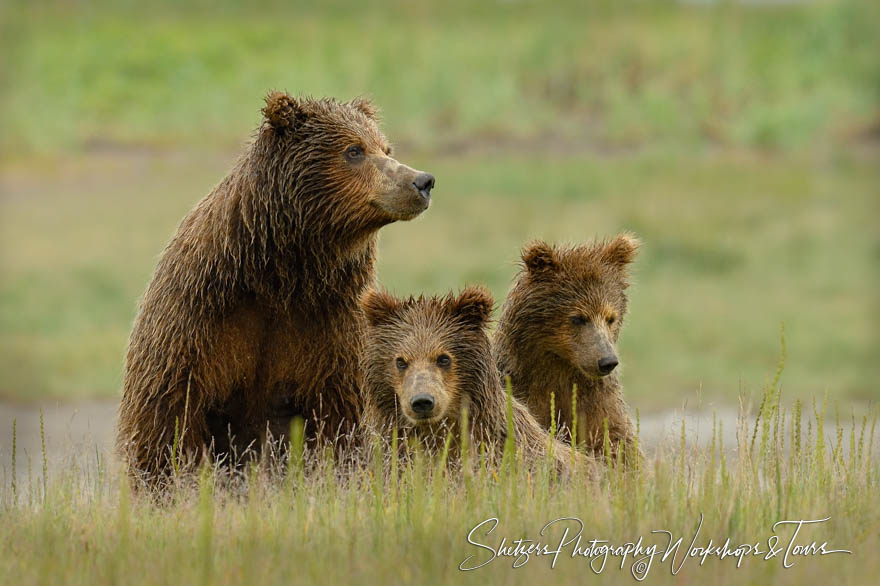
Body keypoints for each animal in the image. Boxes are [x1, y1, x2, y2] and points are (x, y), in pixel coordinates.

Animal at [117, 92, 434, 484]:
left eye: (385, 147)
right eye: (354, 150)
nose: (422, 181)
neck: (281, 275)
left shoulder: (332, 323)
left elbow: (340, 418)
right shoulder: (200, 317)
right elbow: (168, 416)